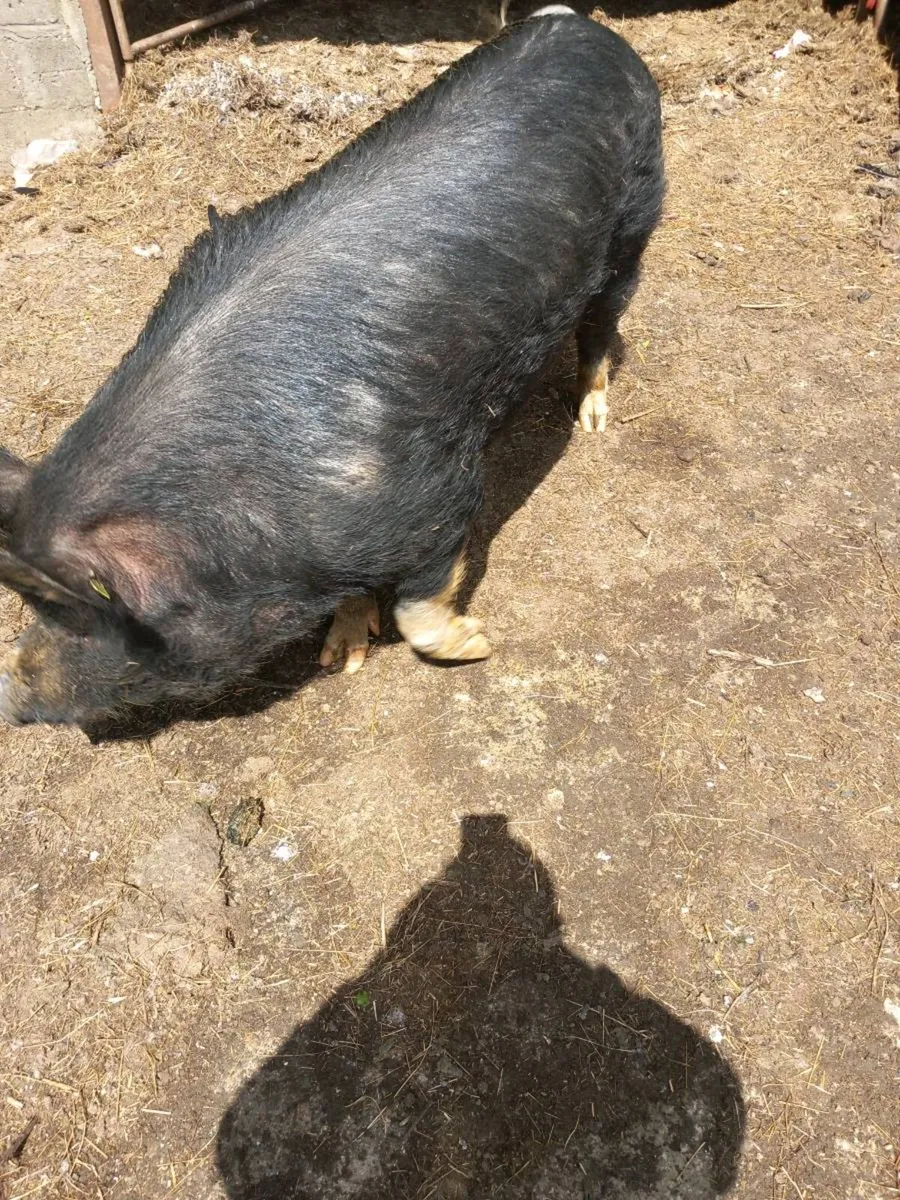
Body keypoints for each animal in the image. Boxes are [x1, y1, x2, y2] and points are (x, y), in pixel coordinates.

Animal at [0, 4, 664, 727]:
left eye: (74, 619)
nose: (9, 690)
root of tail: (578, 23)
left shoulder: (438, 491)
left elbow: (419, 608)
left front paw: (479, 644)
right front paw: (340, 657)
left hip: (637, 216)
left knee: (604, 318)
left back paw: (593, 417)